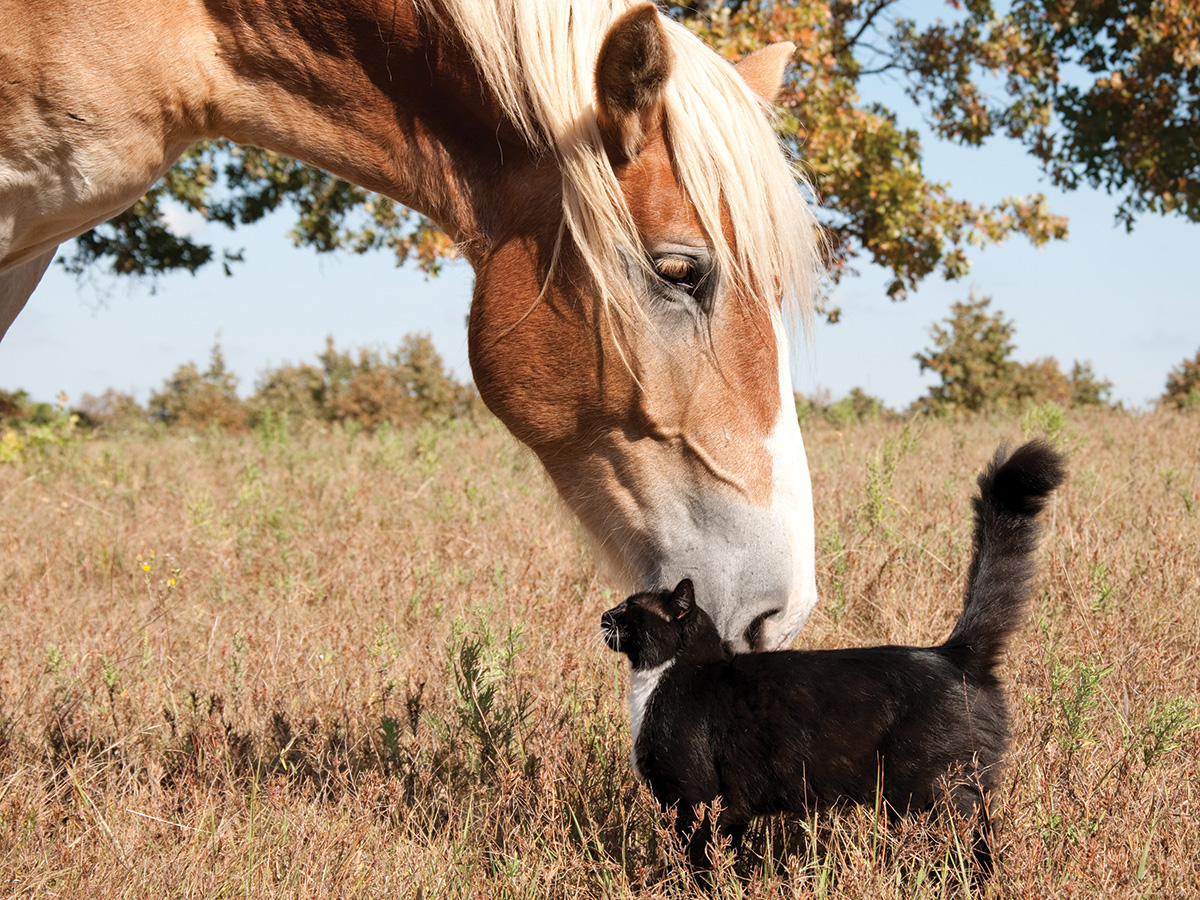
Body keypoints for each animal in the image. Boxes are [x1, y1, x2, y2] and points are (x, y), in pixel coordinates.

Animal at [604, 441, 1065, 878]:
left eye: (630, 609)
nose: (604, 616)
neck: (665, 679)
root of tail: (952, 654)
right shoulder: (727, 811)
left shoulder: (696, 800)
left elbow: (697, 860)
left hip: (935, 792)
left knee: (964, 846)